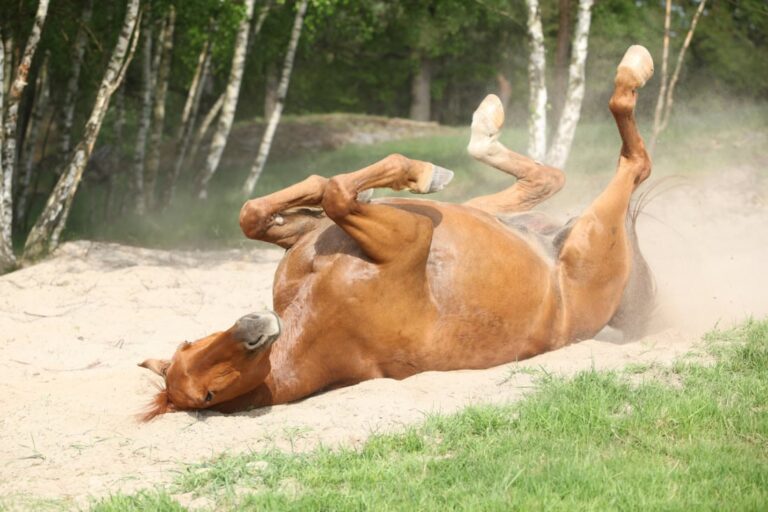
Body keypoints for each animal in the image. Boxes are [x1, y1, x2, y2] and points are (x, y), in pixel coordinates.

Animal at [139, 45, 656, 420]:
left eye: (188, 344)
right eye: (208, 394)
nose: (253, 326)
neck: (317, 315)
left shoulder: (318, 233)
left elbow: (271, 207)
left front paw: (401, 179)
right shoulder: (409, 238)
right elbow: (336, 193)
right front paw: (418, 172)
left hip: (480, 212)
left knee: (548, 177)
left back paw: (484, 126)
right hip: (591, 237)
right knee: (634, 163)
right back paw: (633, 69)